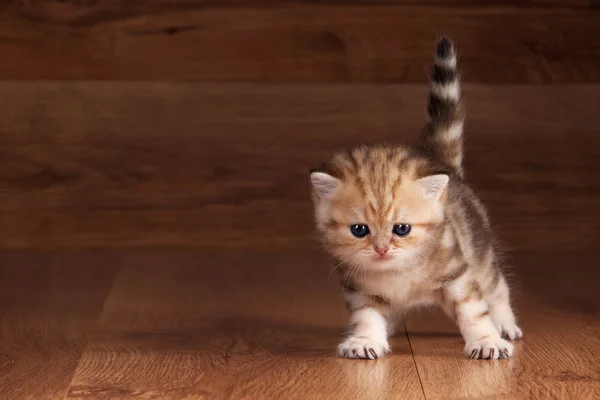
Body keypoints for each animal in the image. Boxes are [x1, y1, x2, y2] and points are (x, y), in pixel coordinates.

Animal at [310, 39, 520, 360]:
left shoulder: (458, 273)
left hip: (481, 256)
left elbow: (473, 310)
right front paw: (365, 340)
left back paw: (505, 324)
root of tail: (442, 164)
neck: (398, 271)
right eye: (359, 230)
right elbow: (367, 315)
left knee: (497, 288)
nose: (381, 249)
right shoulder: (360, 288)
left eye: (402, 229)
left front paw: (487, 341)